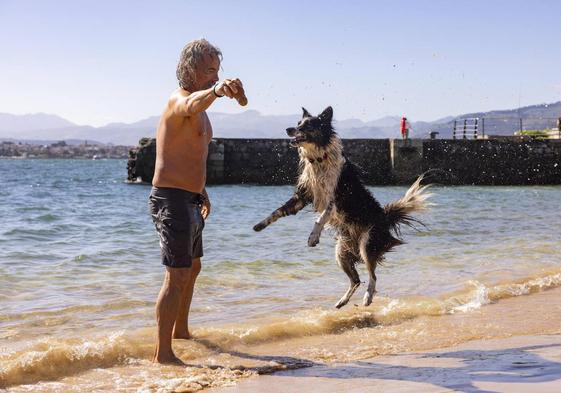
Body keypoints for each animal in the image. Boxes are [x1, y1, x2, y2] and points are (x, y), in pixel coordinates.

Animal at [252, 106, 430, 306]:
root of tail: (385, 217)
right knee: (356, 280)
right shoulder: (303, 195)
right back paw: (342, 301)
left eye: (308, 125)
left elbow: (320, 218)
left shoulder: (334, 198)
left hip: (367, 243)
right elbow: (278, 211)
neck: (319, 159)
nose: (288, 129)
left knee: (373, 276)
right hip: (341, 252)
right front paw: (259, 225)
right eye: (298, 123)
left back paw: (368, 297)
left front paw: (313, 237)